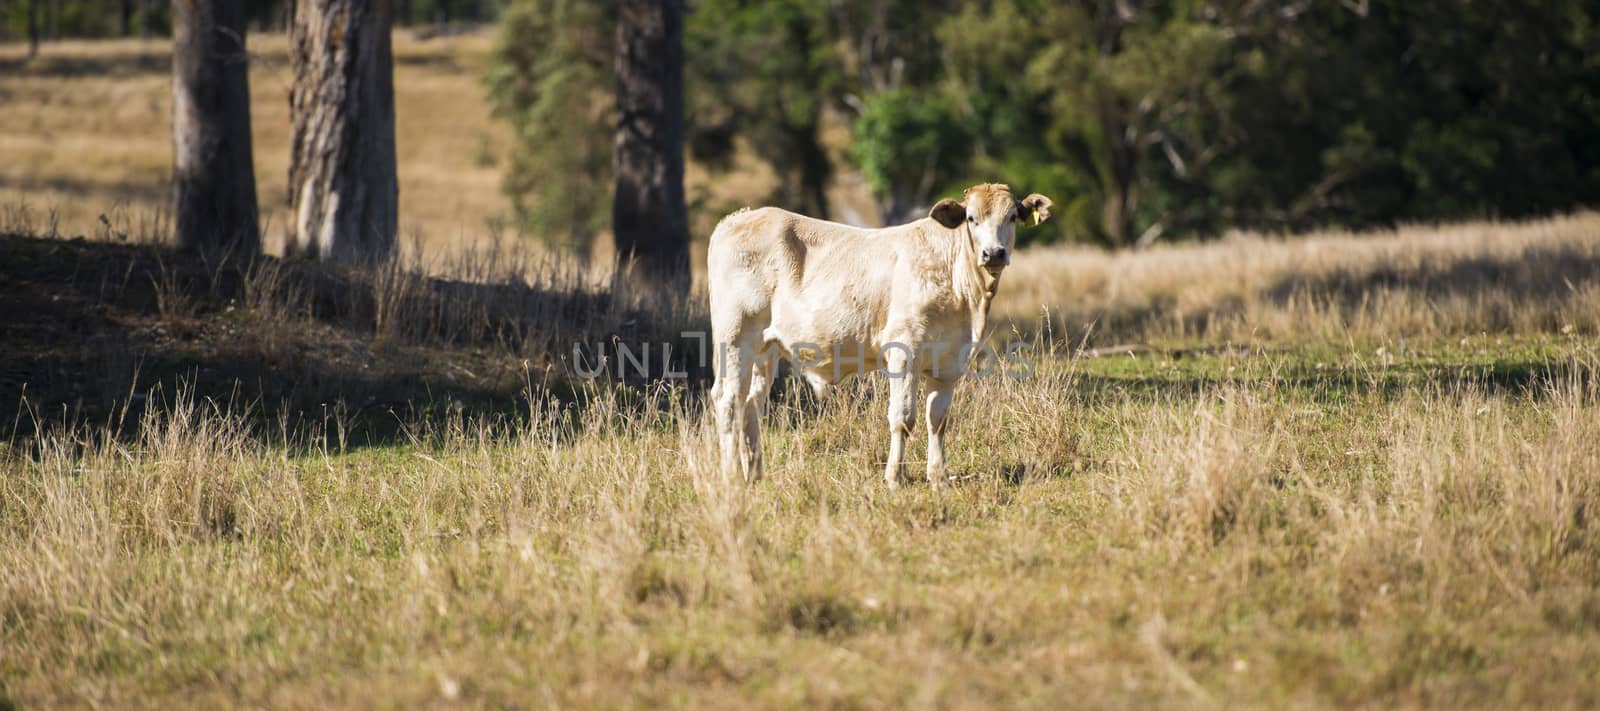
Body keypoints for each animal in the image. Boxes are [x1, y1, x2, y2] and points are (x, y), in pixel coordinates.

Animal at [707, 181, 1056, 490]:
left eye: (1011, 217)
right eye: (972, 218)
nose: (993, 253)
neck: (965, 296)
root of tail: (738, 219)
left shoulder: (950, 362)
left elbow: (937, 419)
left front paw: (939, 478)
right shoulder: (904, 351)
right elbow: (903, 417)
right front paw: (894, 478)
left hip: (764, 348)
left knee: (751, 402)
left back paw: (754, 475)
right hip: (734, 337)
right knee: (728, 399)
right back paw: (731, 477)